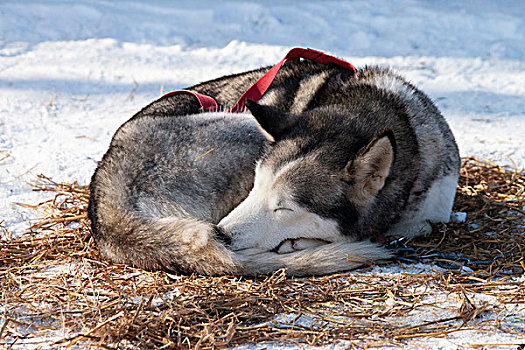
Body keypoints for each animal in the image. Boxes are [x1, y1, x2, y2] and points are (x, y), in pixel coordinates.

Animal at [87, 51, 458, 276]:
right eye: (255, 188)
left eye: (284, 208)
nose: (223, 235)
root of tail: (106, 203)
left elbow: (423, 225)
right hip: (245, 127)